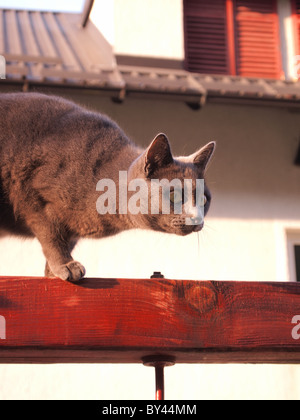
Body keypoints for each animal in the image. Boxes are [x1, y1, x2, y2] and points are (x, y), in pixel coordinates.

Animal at [0, 92, 216, 282]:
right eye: (174, 195)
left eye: (204, 200)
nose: (197, 217)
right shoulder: (34, 198)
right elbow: (52, 237)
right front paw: (66, 266)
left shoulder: (72, 231)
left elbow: (65, 243)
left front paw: (52, 273)